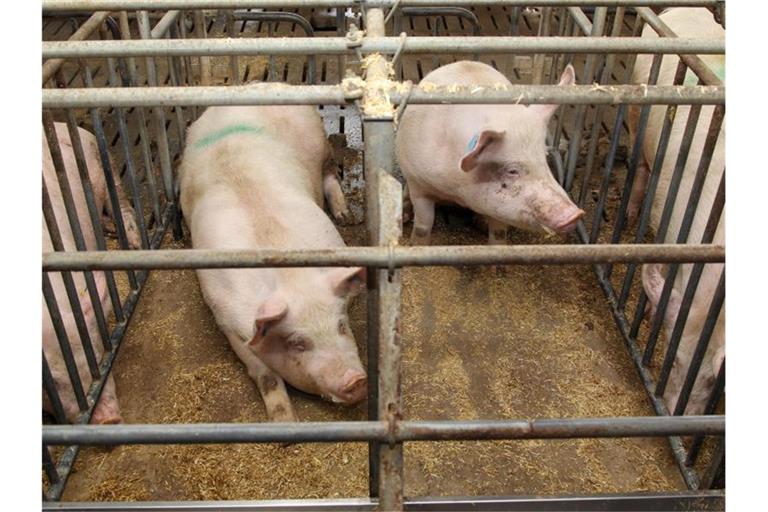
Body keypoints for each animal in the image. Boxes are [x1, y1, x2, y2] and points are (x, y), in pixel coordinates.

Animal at [43, 122, 141, 426]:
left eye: (96, 353)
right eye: (53, 383)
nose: (110, 419)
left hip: (102, 163)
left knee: (121, 202)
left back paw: (132, 241)